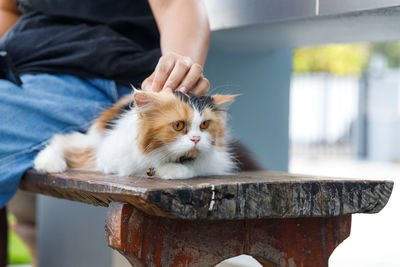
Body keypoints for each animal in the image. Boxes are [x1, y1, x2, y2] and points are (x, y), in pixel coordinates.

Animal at [33, 90, 238, 180]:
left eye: (204, 125)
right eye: (178, 125)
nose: (196, 139)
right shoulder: (109, 159)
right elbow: (150, 164)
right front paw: (172, 169)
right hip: (90, 144)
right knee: (62, 140)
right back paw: (48, 163)